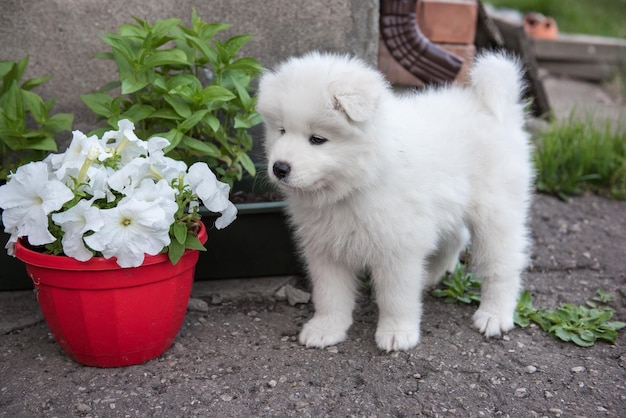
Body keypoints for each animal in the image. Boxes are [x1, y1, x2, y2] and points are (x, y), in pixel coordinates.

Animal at [255, 52, 532, 352]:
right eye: (282, 130)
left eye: (317, 139)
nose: (279, 168)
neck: (357, 184)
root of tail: (485, 103)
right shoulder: (325, 248)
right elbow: (330, 294)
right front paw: (326, 328)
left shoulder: (397, 247)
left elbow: (395, 297)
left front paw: (396, 333)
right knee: (455, 238)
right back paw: (429, 276)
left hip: (496, 212)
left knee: (502, 265)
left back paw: (495, 315)